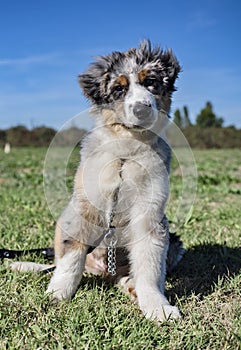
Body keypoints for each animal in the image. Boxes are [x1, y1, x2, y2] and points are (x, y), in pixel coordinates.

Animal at [11, 41, 183, 322]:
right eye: (119, 89)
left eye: (151, 82)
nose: (141, 109)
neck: (126, 151)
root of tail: (103, 271)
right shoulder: (83, 206)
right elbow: (70, 258)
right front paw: (57, 294)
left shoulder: (150, 212)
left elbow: (150, 265)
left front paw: (157, 306)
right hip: (63, 221)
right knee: (58, 261)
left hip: (174, 241)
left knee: (129, 273)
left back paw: (131, 286)